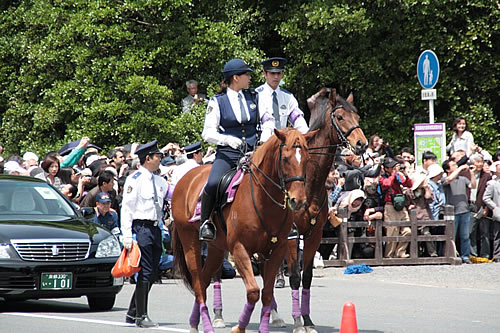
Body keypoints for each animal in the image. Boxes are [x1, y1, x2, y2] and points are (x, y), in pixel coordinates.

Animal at [170, 127, 314, 332]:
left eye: (307, 159)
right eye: (286, 159)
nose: (298, 200)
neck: (263, 200)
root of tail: (186, 178)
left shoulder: (277, 251)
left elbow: (267, 294)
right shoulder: (239, 249)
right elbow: (253, 292)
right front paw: (239, 327)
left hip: (216, 249)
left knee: (204, 281)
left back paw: (194, 323)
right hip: (190, 242)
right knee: (198, 284)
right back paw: (206, 325)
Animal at [284, 90, 370, 332]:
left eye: (357, 116)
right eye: (339, 117)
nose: (361, 143)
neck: (309, 183)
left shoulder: (314, 235)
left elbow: (307, 277)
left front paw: (307, 321)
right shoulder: (292, 236)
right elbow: (294, 276)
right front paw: (297, 322)